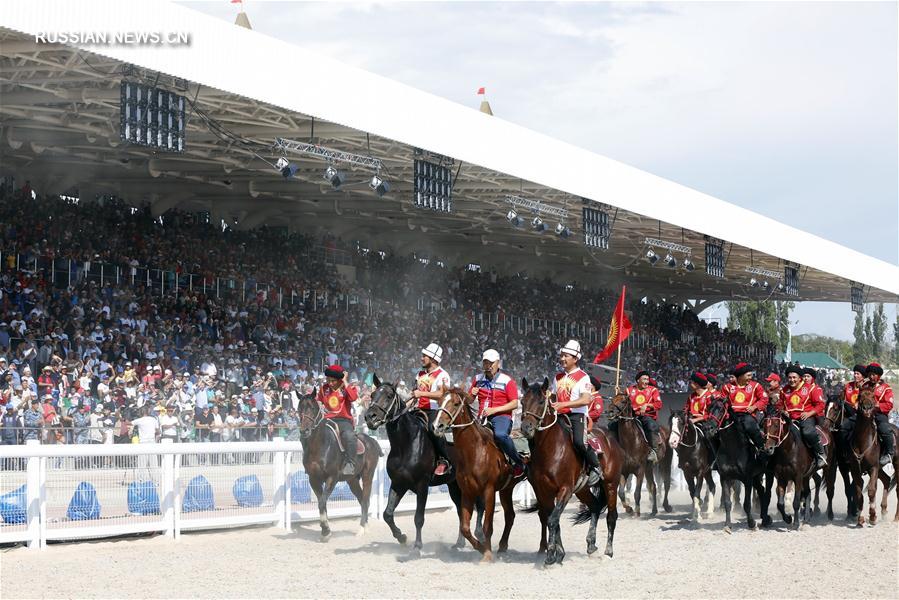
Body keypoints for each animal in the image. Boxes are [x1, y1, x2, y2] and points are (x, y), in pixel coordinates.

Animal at [296, 394, 380, 540]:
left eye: (312, 408)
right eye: (299, 408)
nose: (304, 431)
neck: (321, 445)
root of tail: (372, 441)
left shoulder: (332, 477)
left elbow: (322, 502)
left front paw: (325, 530)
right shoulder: (314, 479)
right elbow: (322, 503)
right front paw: (326, 530)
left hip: (367, 476)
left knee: (365, 501)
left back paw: (361, 529)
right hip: (352, 480)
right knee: (361, 499)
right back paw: (365, 526)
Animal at [364, 376, 486, 556]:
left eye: (389, 395)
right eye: (372, 395)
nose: (370, 417)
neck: (406, 443)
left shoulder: (422, 486)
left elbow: (418, 518)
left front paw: (417, 546)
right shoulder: (398, 484)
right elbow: (388, 514)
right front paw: (402, 537)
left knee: (479, 505)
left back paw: (480, 536)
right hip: (454, 485)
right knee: (460, 510)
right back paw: (459, 543)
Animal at [434, 386, 524, 560]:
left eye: (456, 403)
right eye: (440, 401)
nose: (438, 426)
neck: (476, 451)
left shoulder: (488, 491)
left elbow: (487, 525)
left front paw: (487, 554)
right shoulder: (467, 491)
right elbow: (465, 527)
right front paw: (481, 548)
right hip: (506, 489)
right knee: (510, 515)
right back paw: (502, 546)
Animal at [516, 378, 624, 564]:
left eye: (541, 401)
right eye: (522, 401)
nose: (526, 428)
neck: (550, 450)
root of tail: (610, 438)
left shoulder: (565, 489)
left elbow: (553, 520)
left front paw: (551, 555)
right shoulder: (542, 491)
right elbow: (553, 519)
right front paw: (558, 553)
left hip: (610, 484)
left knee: (612, 516)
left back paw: (608, 552)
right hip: (582, 489)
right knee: (595, 507)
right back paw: (591, 545)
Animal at [712, 398, 768, 528]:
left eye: (721, 409)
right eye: (708, 408)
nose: (708, 427)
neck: (733, 448)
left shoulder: (747, 479)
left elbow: (747, 504)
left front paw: (751, 523)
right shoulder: (725, 478)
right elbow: (727, 502)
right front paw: (727, 525)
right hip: (756, 477)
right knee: (761, 490)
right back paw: (765, 518)